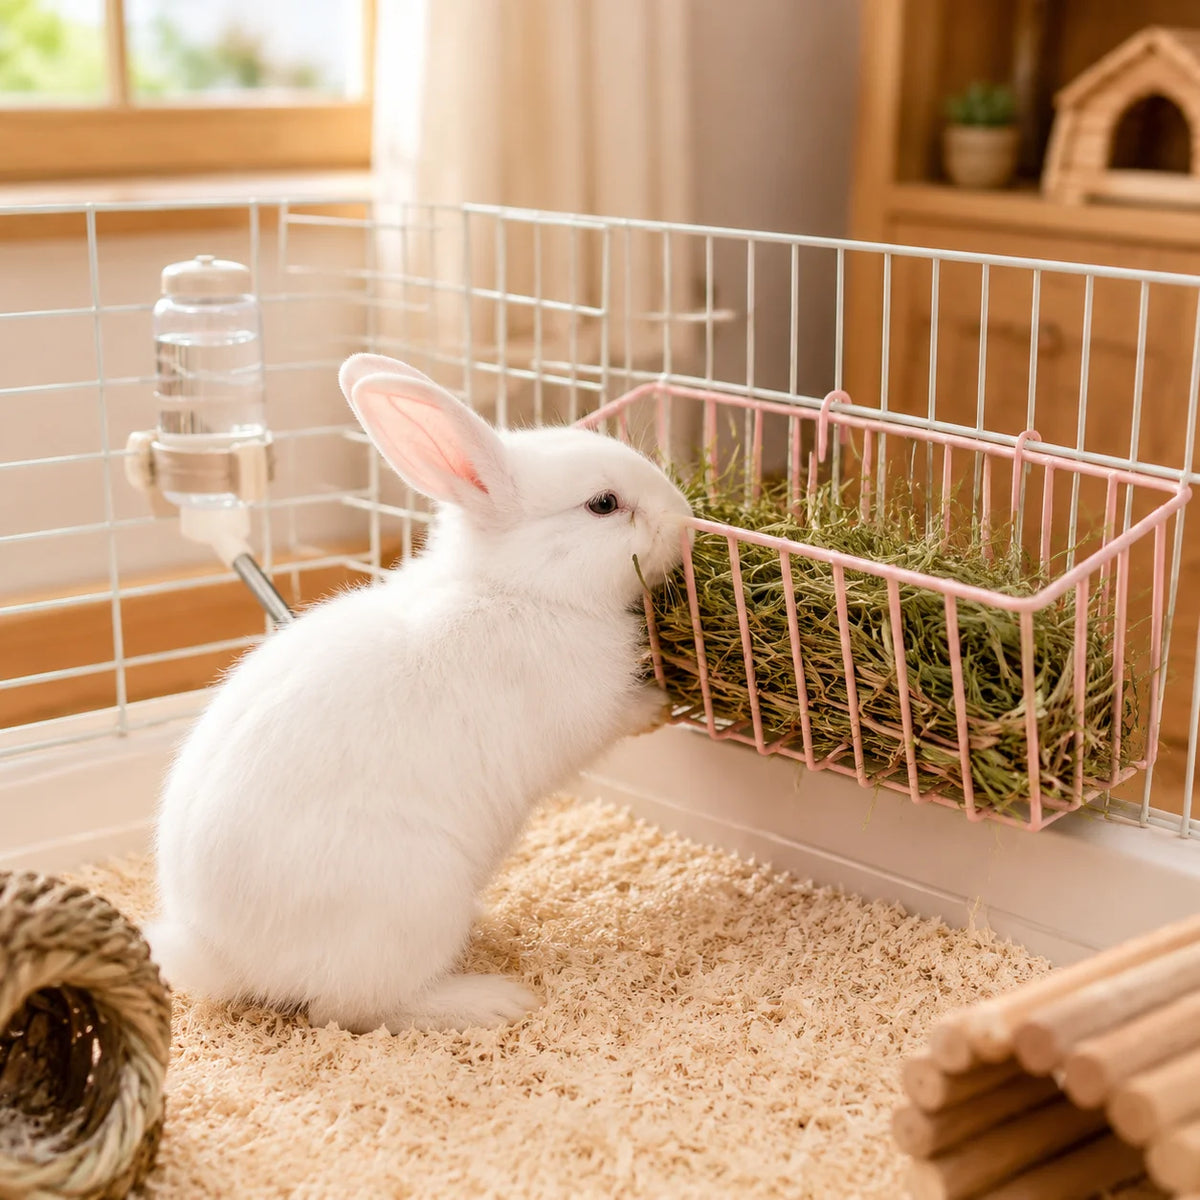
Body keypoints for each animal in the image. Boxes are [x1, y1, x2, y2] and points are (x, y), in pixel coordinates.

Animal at [145, 352, 693, 1034]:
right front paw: (663, 706)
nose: (683, 518)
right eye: (603, 504)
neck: (518, 588)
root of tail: (224, 957)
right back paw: (490, 1000)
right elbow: (622, 715)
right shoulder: (589, 712)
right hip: (413, 901)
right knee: (354, 1008)